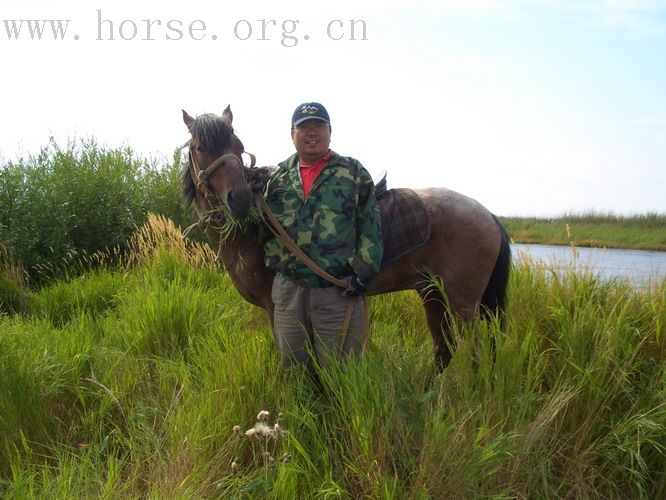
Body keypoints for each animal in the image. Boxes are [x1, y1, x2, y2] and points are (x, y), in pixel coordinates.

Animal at [180, 106, 508, 372]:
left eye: (239, 146)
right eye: (201, 148)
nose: (241, 199)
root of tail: (489, 215)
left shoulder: (275, 309)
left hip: (463, 304)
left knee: (474, 354)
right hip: (432, 294)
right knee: (444, 351)